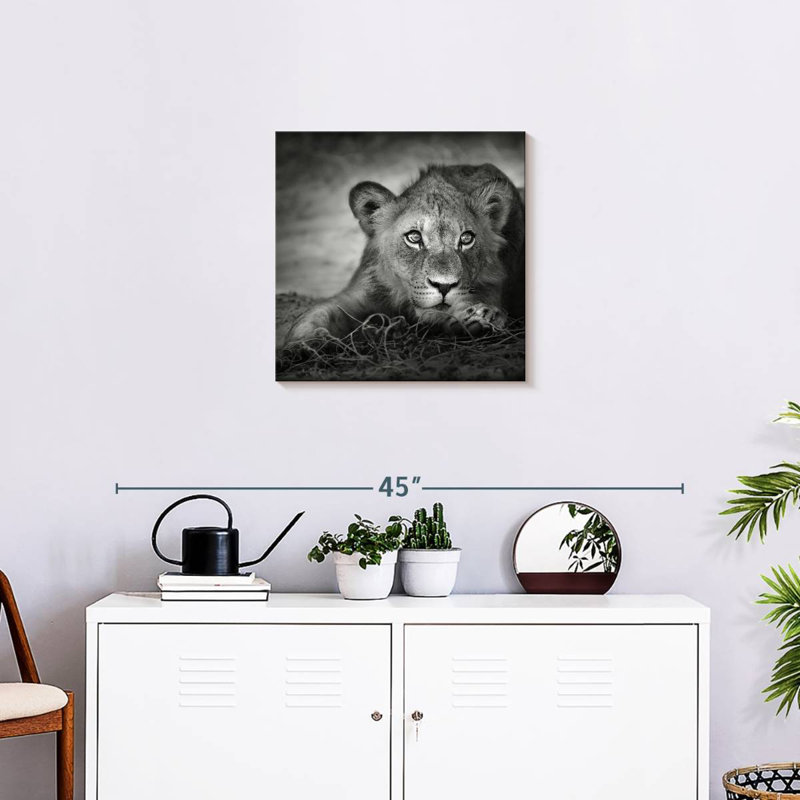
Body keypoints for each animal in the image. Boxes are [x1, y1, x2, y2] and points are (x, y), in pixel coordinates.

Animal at [282, 163, 524, 345]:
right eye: (414, 237)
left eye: (466, 239)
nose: (444, 286)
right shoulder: (360, 293)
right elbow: (314, 314)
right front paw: (304, 344)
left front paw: (482, 317)